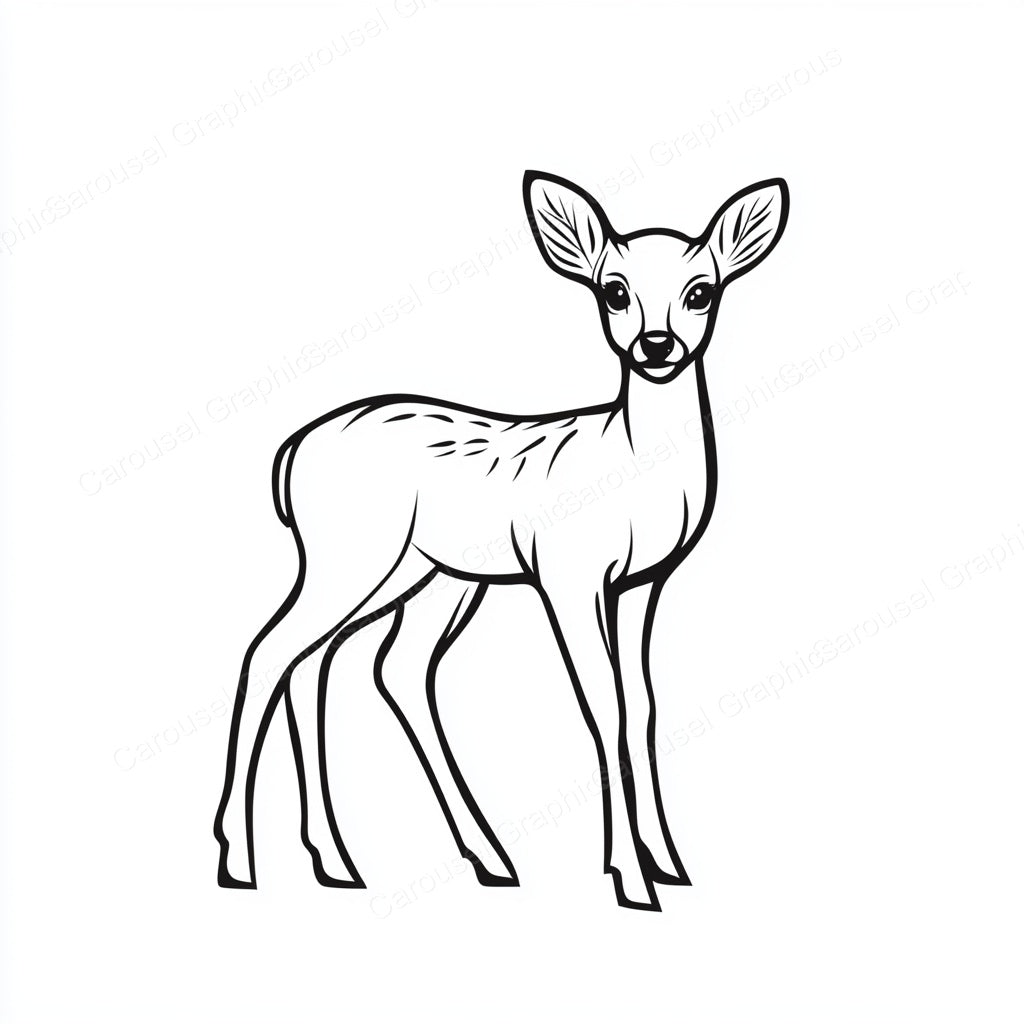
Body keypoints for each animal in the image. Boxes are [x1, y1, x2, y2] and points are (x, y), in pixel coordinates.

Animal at [214, 171, 789, 910]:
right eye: (614, 289)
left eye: (702, 291)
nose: (656, 345)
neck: (631, 462)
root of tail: (288, 455)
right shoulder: (570, 573)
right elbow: (602, 706)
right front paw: (629, 878)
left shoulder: (642, 584)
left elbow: (643, 706)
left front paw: (669, 863)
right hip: (351, 556)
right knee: (271, 652)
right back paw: (240, 859)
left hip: (427, 575)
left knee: (357, 665)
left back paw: (383, 861)